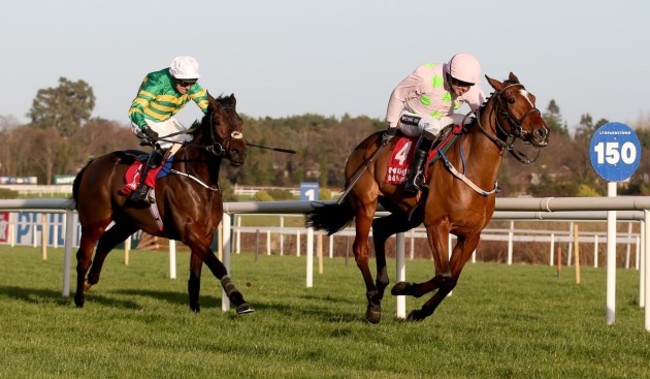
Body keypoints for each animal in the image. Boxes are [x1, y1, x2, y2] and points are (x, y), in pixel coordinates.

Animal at [72, 94, 252, 314]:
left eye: (240, 122)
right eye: (218, 122)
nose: (238, 153)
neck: (197, 177)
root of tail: (91, 164)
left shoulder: (206, 233)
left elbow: (197, 271)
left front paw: (195, 307)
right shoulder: (188, 230)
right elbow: (217, 265)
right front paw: (239, 299)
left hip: (128, 222)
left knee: (106, 242)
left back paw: (90, 282)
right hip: (94, 220)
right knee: (84, 256)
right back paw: (79, 298)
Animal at [306, 73, 548, 324]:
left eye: (532, 97)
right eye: (511, 99)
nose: (542, 132)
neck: (472, 170)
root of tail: (361, 147)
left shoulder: (471, 235)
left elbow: (451, 279)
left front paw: (419, 310)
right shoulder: (436, 224)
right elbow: (444, 275)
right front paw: (404, 287)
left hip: (408, 214)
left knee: (381, 228)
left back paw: (381, 289)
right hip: (366, 202)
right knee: (360, 249)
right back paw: (373, 302)